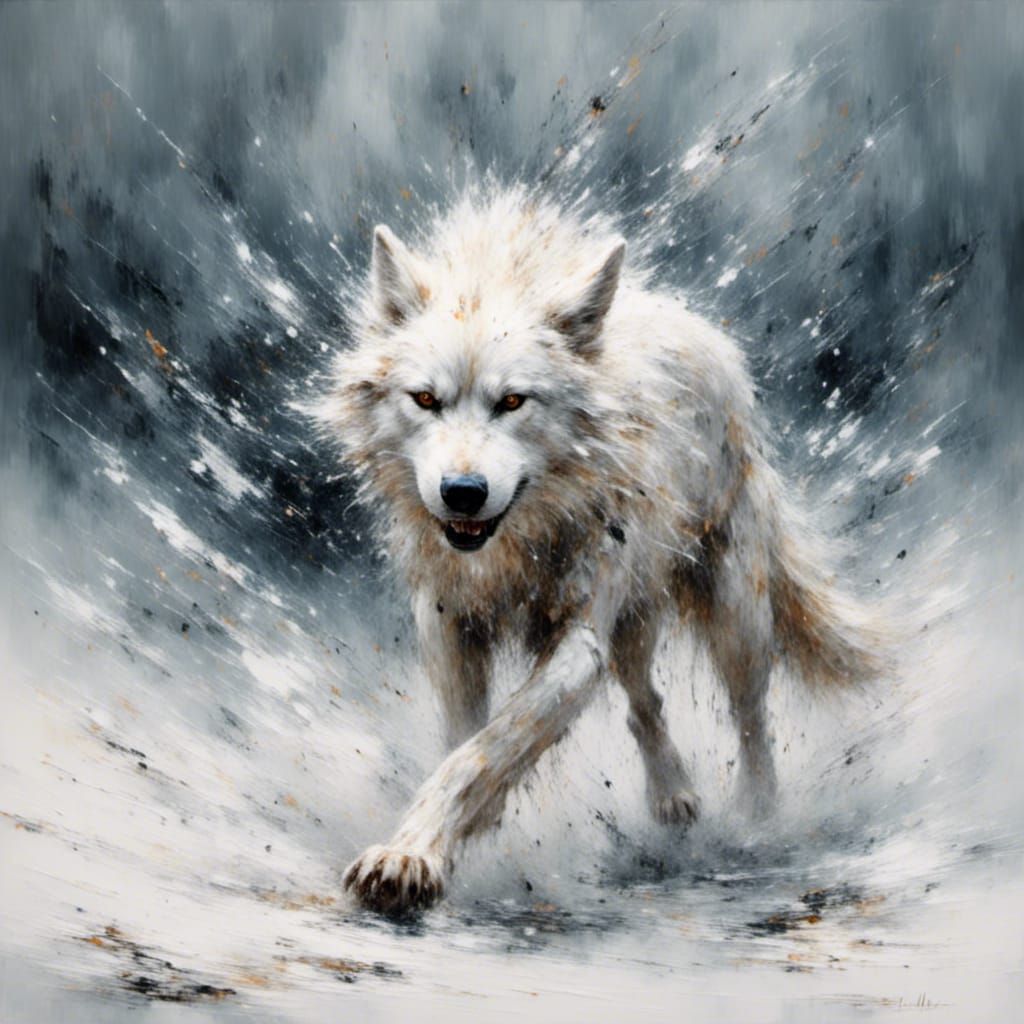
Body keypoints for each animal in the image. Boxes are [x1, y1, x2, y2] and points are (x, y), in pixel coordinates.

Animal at [319, 189, 880, 916]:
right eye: (425, 400)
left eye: (512, 402)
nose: (463, 493)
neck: (518, 547)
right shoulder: (448, 622)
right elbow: (464, 737)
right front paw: (452, 835)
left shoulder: (577, 643)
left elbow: (484, 750)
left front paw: (411, 858)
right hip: (633, 621)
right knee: (647, 700)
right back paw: (673, 795)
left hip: (734, 617)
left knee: (752, 718)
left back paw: (757, 819)